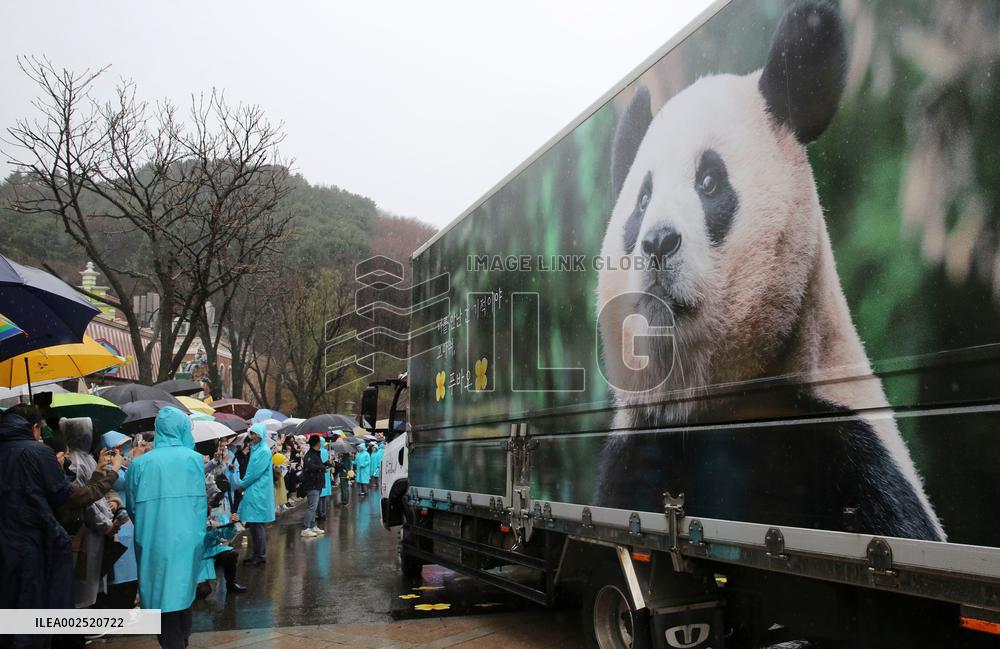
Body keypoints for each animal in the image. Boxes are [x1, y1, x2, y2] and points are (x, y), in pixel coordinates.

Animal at [594, 1, 944, 542]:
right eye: (642, 200)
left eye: (710, 181)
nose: (657, 242)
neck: (702, 402)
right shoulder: (638, 447)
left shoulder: (844, 450)